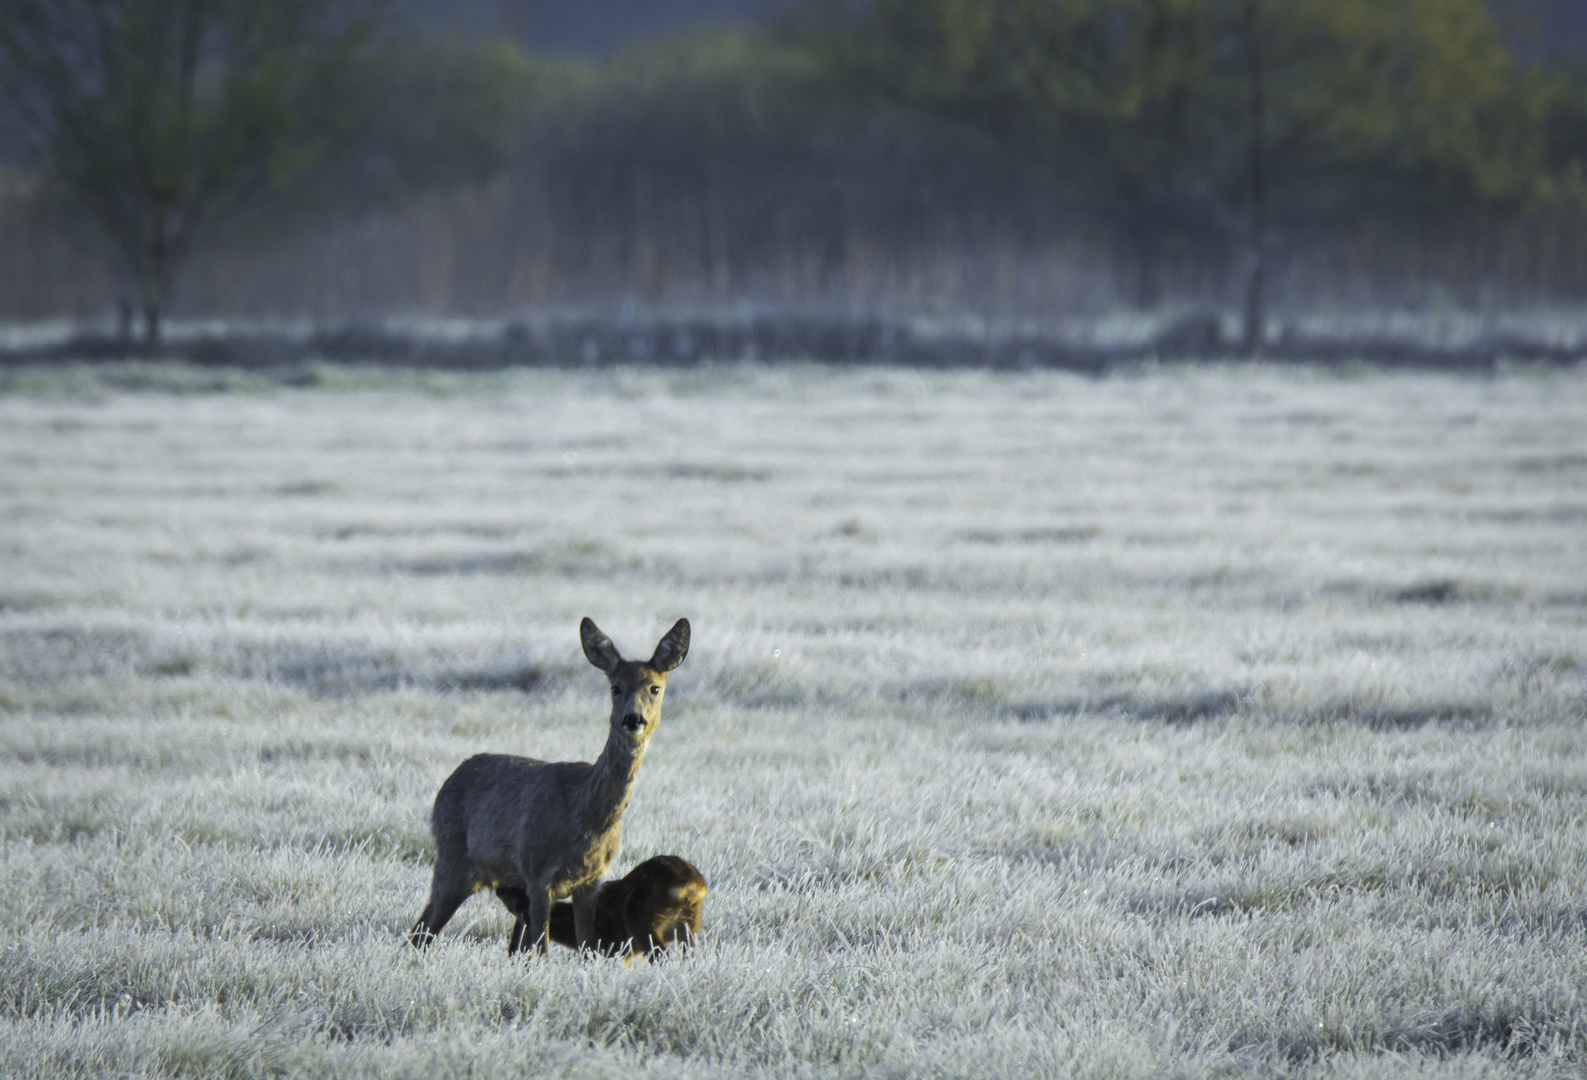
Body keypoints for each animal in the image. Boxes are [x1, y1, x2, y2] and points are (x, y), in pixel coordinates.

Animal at [409, 615, 688, 951]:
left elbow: (586, 945)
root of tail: (446, 784)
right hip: (453, 858)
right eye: (615, 687)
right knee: (421, 930)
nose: (633, 719)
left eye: (655, 688)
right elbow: (543, 949)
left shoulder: (590, 880)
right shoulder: (538, 872)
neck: (585, 818)